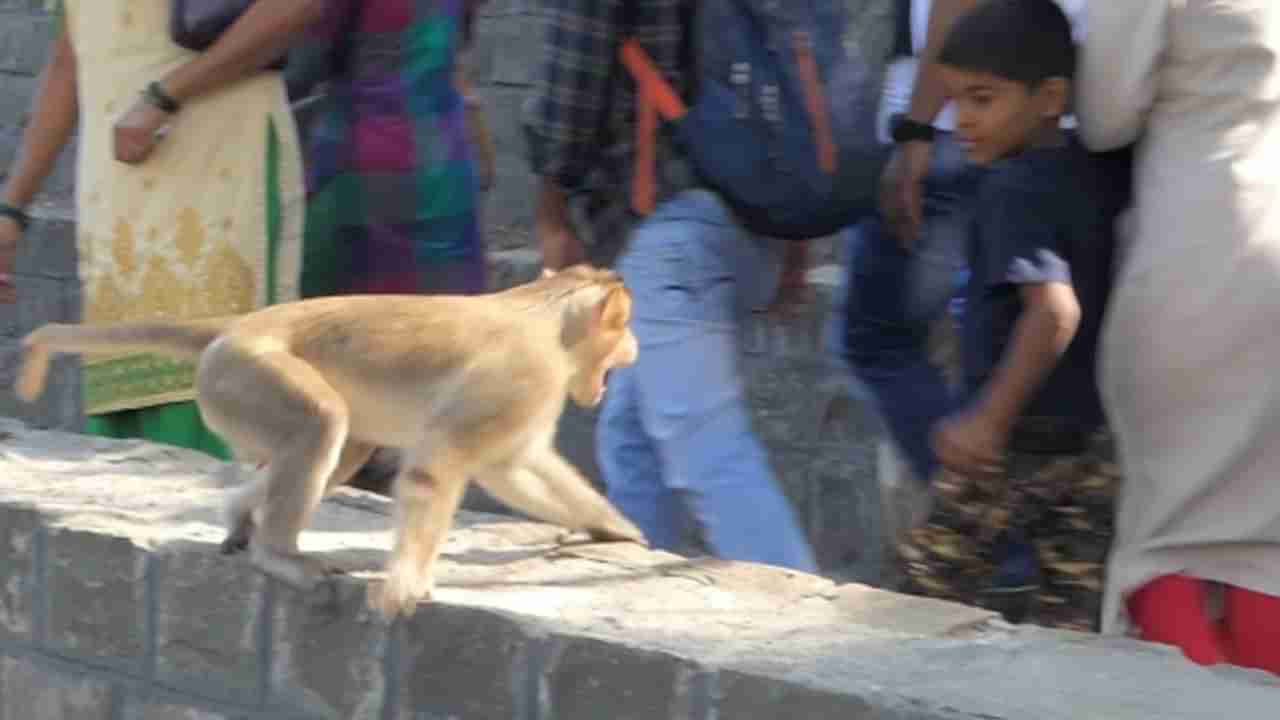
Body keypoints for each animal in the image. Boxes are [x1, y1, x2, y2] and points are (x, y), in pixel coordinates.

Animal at [15, 263, 645, 617]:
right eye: (624, 324)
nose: (634, 348)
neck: (547, 317)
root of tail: (236, 326)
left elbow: (517, 466)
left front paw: (616, 528)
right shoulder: (524, 376)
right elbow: (441, 468)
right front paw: (404, 587)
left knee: (344, 447)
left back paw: (243, 513)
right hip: (246, 374)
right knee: (323, 421)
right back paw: (279, 553)